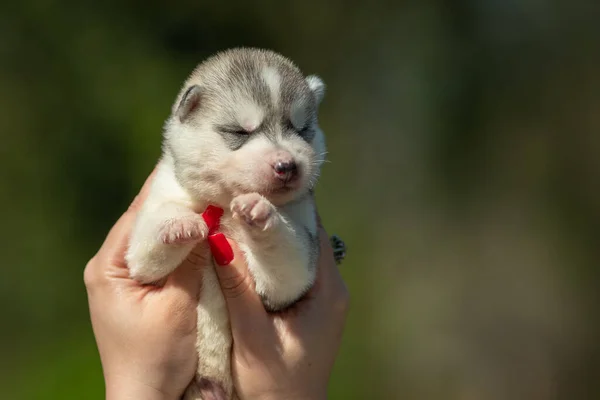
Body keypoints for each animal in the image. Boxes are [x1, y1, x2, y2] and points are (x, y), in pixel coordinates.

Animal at [125, 47, 328, 400]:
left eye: (302, 129)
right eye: (240, 132)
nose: (287, 165)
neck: (223, 205)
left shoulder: (290, 273)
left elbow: (288, 260)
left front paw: (260, 213)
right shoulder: (155, 215)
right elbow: (146, 249)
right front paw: (177, 226)